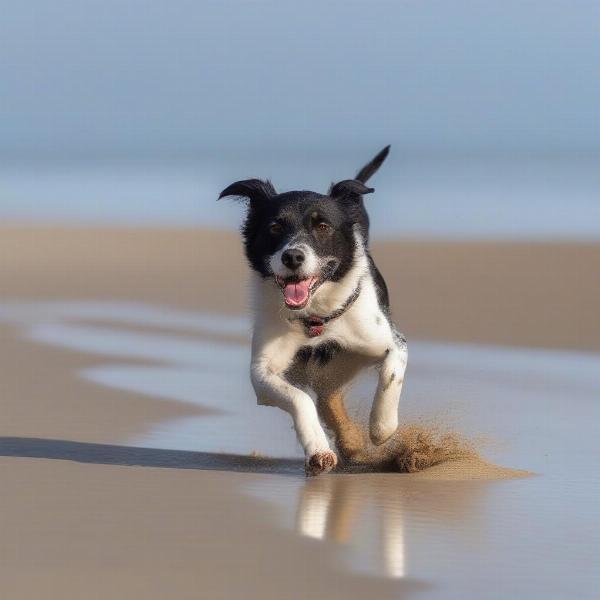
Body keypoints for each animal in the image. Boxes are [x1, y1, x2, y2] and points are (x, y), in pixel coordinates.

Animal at [220, 148, 408, 476]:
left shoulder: (388, 341)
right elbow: (300, 398)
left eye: (322, 226)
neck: (315, 318)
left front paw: (381, 429)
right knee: (324, 398)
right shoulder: (262, 372)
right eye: (274, 227)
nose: (293, 256)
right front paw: (319, 450)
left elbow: (391, 369)